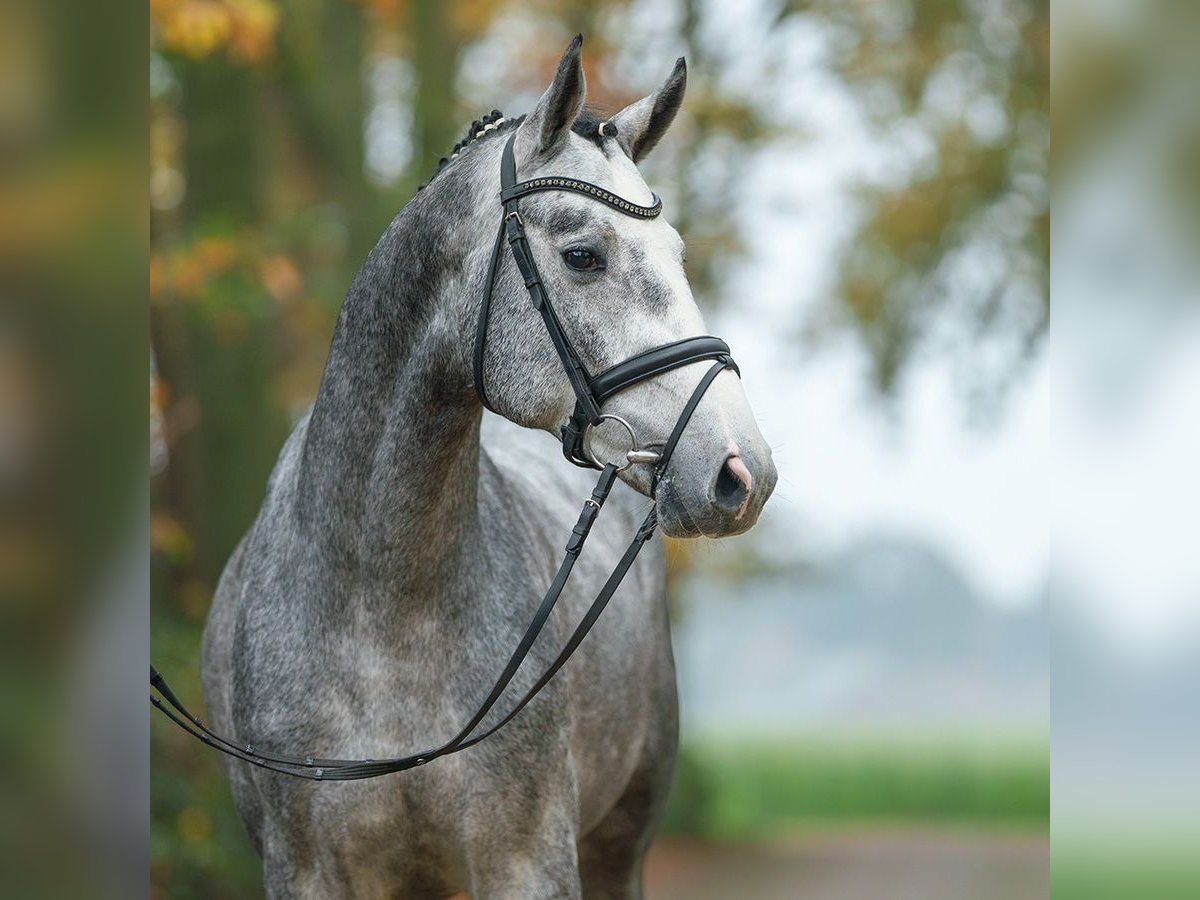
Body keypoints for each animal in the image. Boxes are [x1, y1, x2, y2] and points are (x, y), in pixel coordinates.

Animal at [201, 37, 772, 900]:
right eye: (583, 256)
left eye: (678, 255)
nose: (742, 473)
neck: (381, 611)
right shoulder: (306, 873)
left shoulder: (528, 862)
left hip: (620, 843)